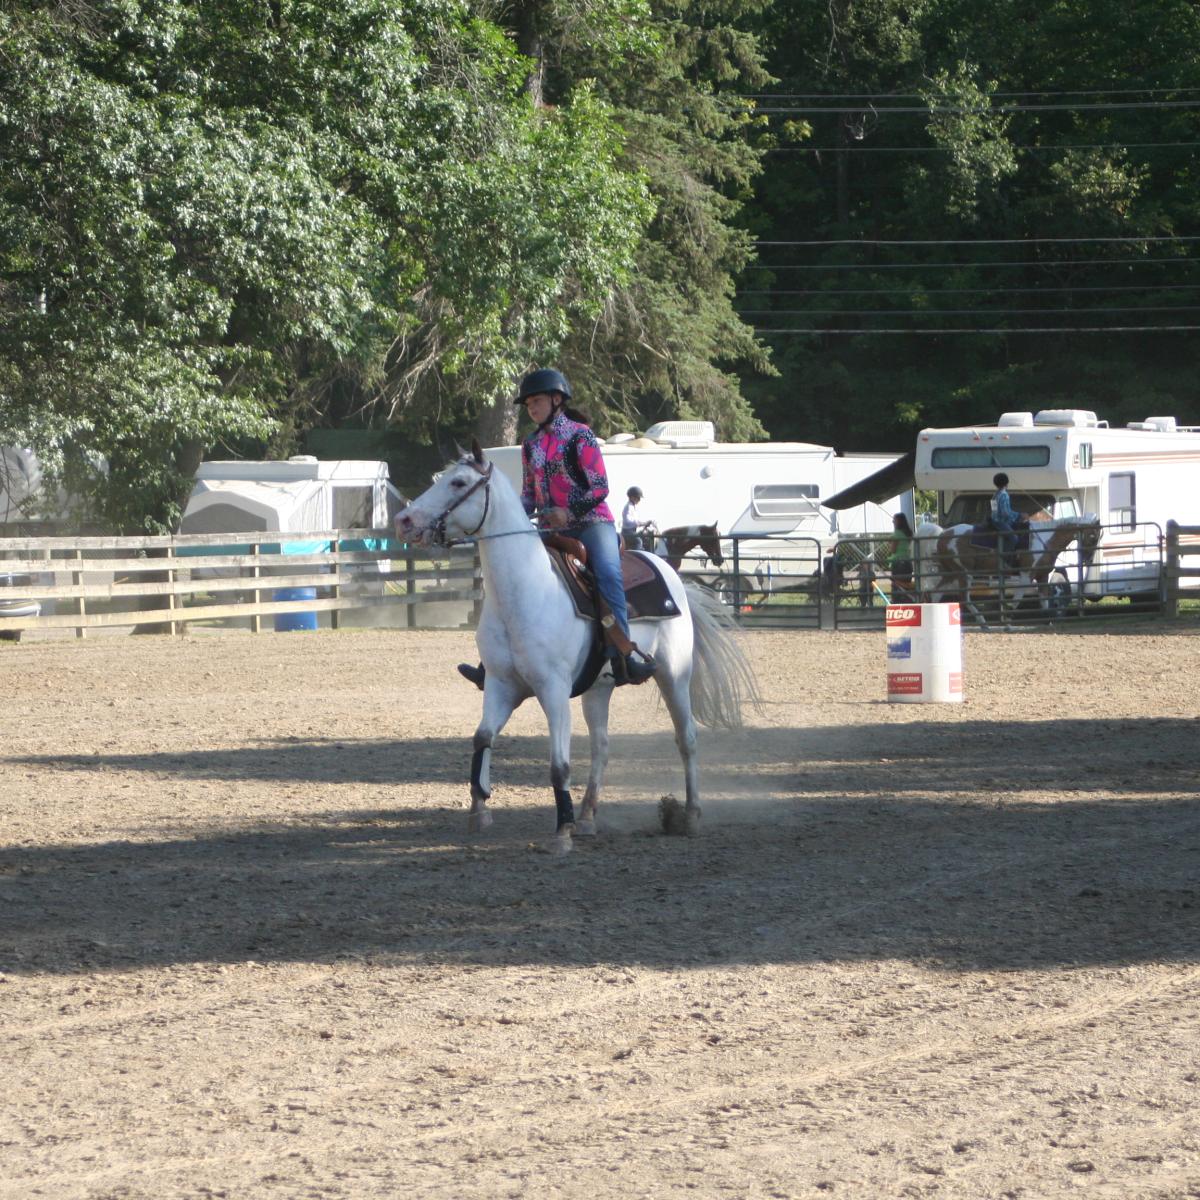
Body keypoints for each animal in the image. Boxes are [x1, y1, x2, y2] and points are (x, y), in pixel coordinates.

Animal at [391, 444, 758, 854]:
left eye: (458, 482)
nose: (404, 520)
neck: (525, 592)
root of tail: (671, 575)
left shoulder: (552, 690)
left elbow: (559, 764)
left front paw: (560, 833)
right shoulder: (502, 686)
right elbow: (482, 737)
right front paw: (480, 810)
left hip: (674, 675)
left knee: (687, 739)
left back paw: (690, 815)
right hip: (598, 689)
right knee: (602, 747)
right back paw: (587, 817)